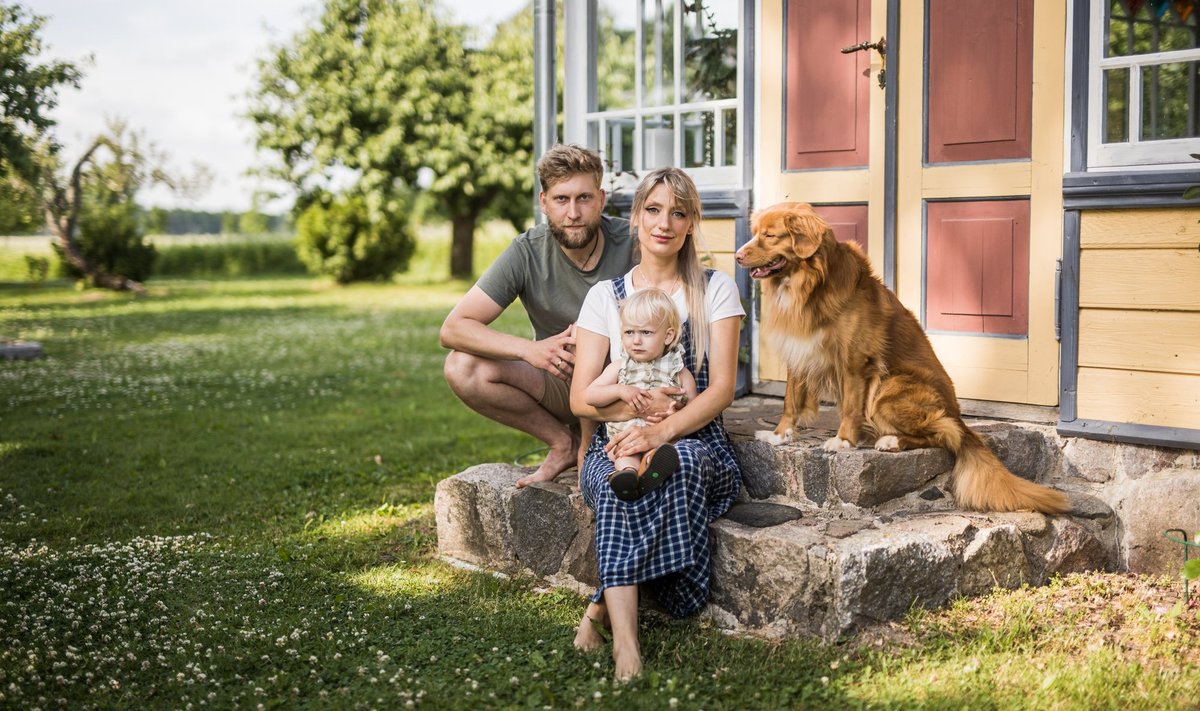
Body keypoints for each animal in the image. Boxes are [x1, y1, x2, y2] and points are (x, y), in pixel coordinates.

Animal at [739, 202, 1070, 514]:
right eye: (755, 232)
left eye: (770, 236)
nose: (738, 256)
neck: (808, 284)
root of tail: (959, 417)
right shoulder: (799, 351)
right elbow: (790, 400)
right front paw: (779, 435)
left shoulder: (855, 361)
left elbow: (850, 407)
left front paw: (843, 441)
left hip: (887, 391)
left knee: (945, 434)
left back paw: (891, 441)